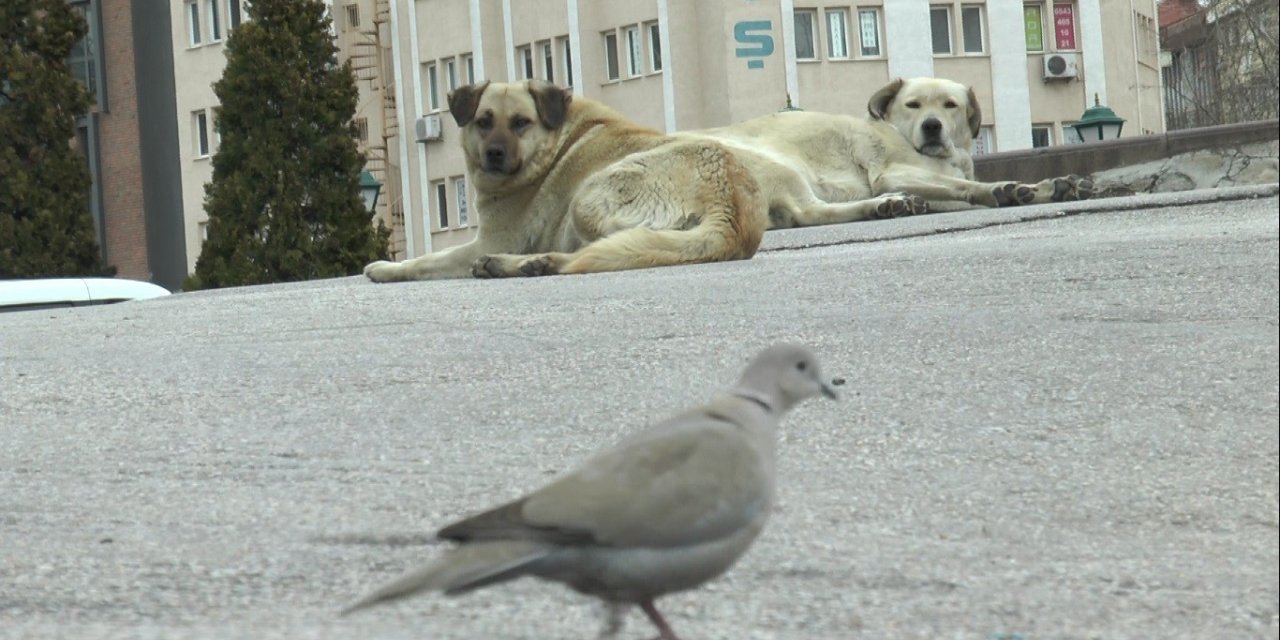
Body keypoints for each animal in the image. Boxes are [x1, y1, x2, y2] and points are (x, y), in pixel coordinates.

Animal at [368, 78, 1090, 282]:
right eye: (481, 120)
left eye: (517, 123)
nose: (492, 157)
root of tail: (730, 213)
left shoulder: (492, 233)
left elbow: (429, 260)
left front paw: (385, 269)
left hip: (594, 197)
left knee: (590, 254)